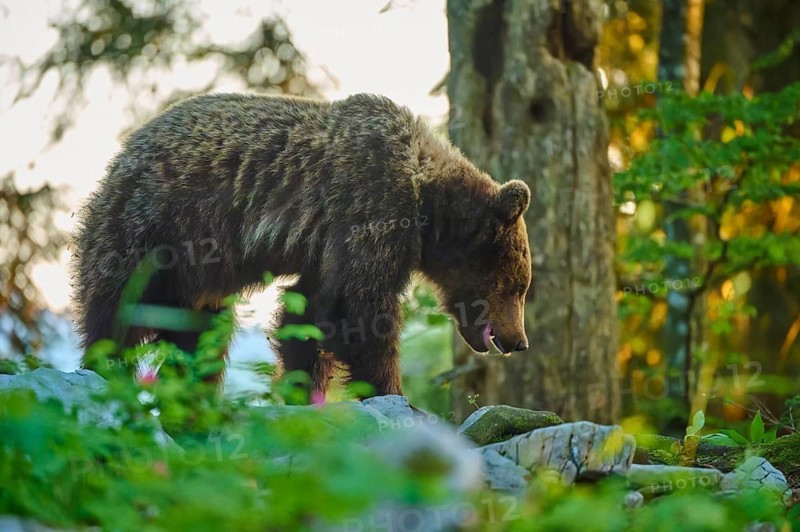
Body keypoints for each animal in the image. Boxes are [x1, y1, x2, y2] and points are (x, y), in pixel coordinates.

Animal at [71, 92, 532, 397]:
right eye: (517, 286)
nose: (519, 342)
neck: (427, 201)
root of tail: (122, 155)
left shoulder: (326, 250)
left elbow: (310, 311)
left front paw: (302, 386)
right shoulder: (371, 204)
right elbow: (358, 311)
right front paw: (392, 392)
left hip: (193, 274)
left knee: (201, 331)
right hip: (152, 229)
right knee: (118, 312)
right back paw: (106, 369)